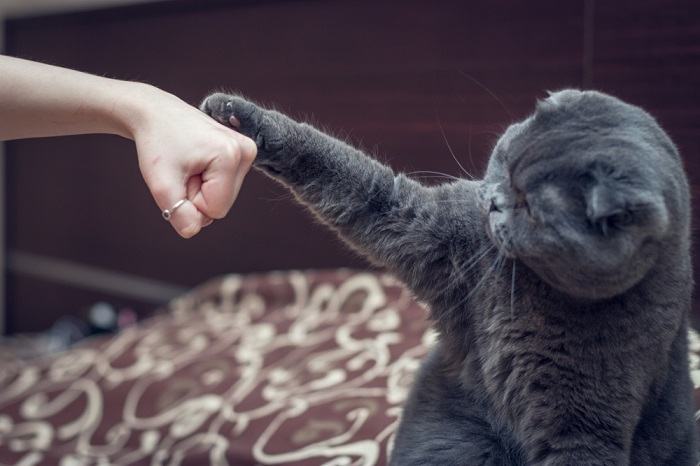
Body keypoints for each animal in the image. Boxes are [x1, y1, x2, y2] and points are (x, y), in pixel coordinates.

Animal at [201, 89, 696, 464]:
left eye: (530, 206)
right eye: (504, 161)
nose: (492, 201)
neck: (527, 283)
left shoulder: (586, 424)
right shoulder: (435, 230)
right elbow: (349, 176)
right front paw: (234, 115)